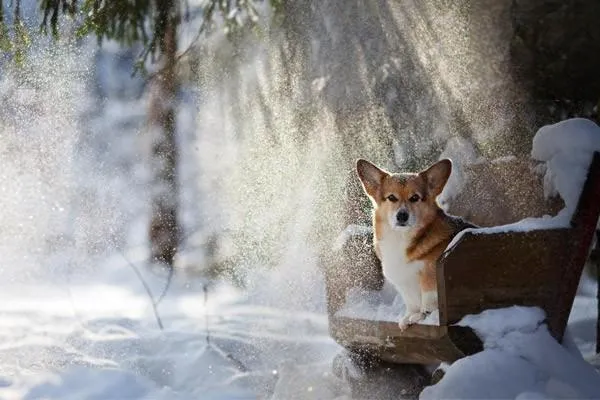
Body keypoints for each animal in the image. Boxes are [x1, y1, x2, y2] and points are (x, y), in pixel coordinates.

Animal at [356, 158, 474, 330]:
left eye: (415, 198)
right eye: (392, 197)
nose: (402, 216)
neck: (401, 237)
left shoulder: (430, 271)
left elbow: (428, 295)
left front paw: (424, 315)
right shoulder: (404, 284)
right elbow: (411, 302)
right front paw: (410, 316)